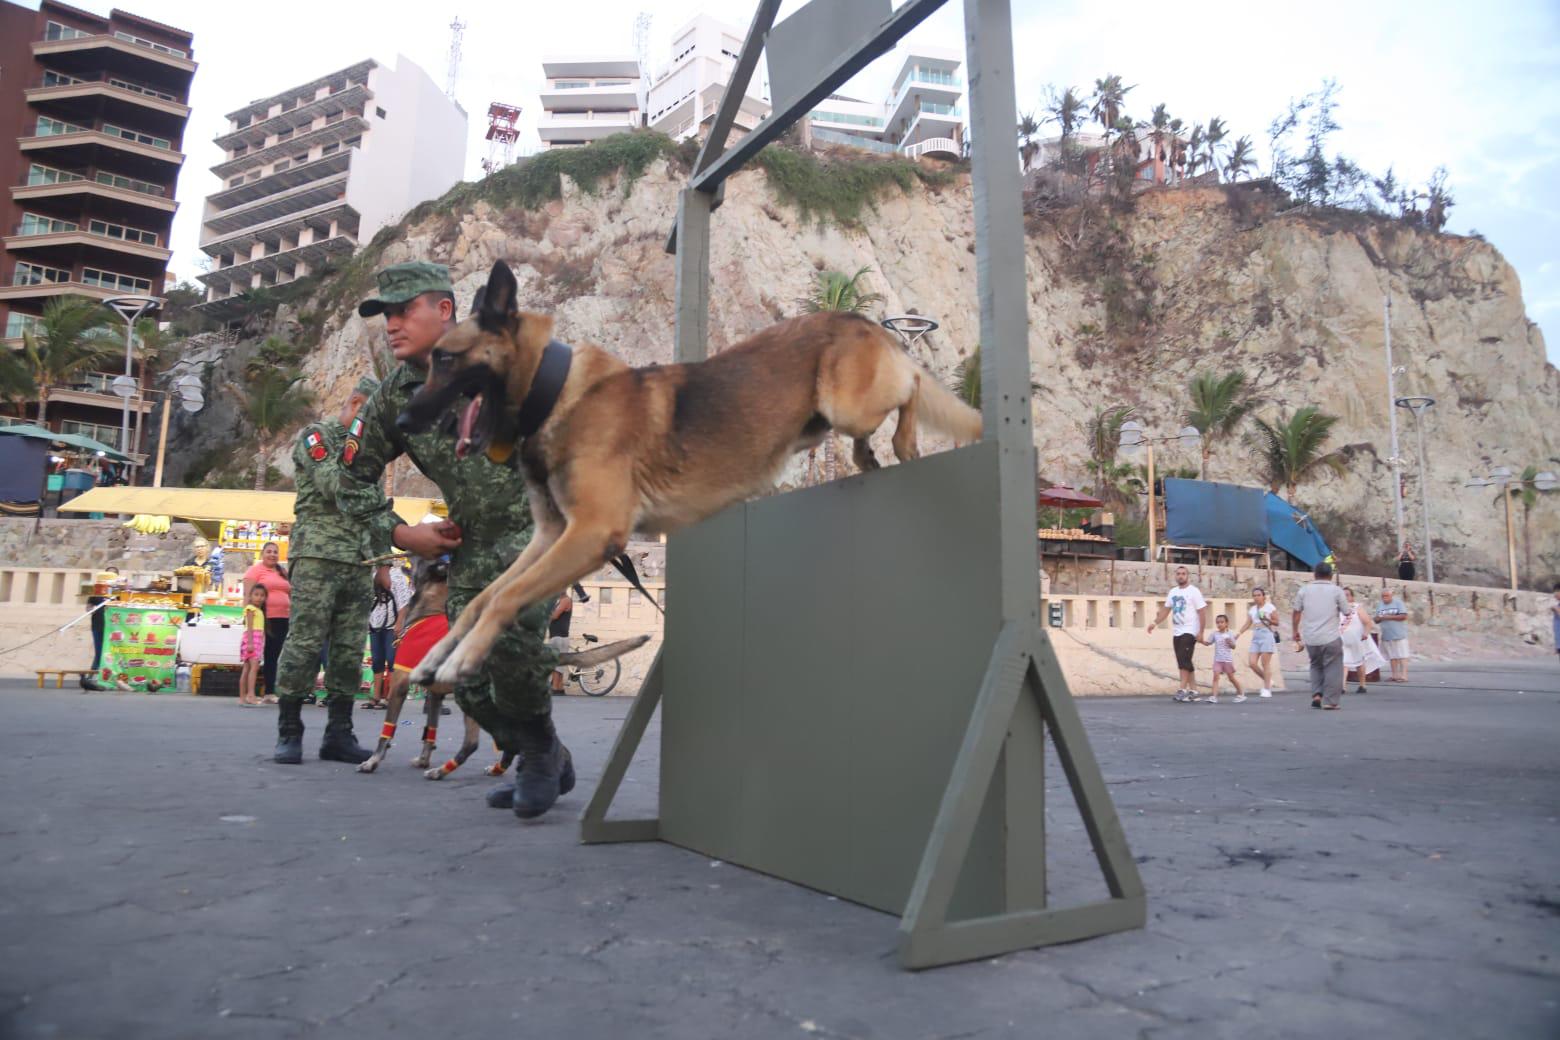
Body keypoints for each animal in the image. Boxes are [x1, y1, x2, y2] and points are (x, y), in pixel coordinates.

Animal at [357, 551, 642, 773]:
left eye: (421, 555)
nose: (397, 557)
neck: (431, 606)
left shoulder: (399, 684)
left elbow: (387, 731)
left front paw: (372, 761)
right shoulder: (435, 695)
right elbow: (430, 730)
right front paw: (423, 759)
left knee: (475, 742)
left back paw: (446, 771)